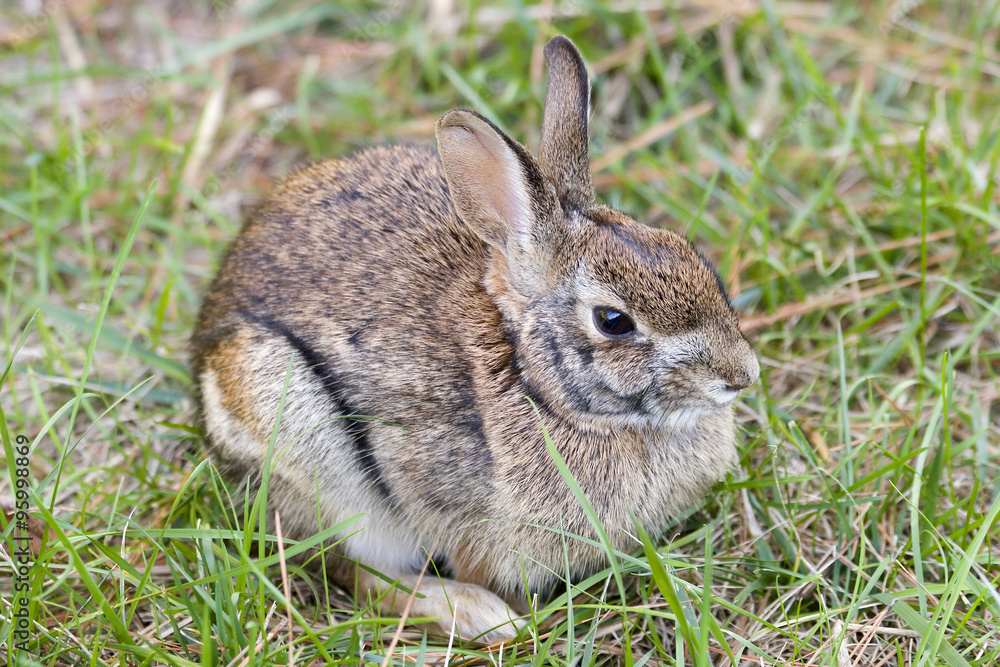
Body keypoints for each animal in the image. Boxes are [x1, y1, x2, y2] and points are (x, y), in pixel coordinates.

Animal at [190, 35, 759, 642]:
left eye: (690, 255)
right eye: (613, 321)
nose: (740, 376)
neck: (536, 383)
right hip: (297, 438)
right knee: (354, 570)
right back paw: (477, 615)